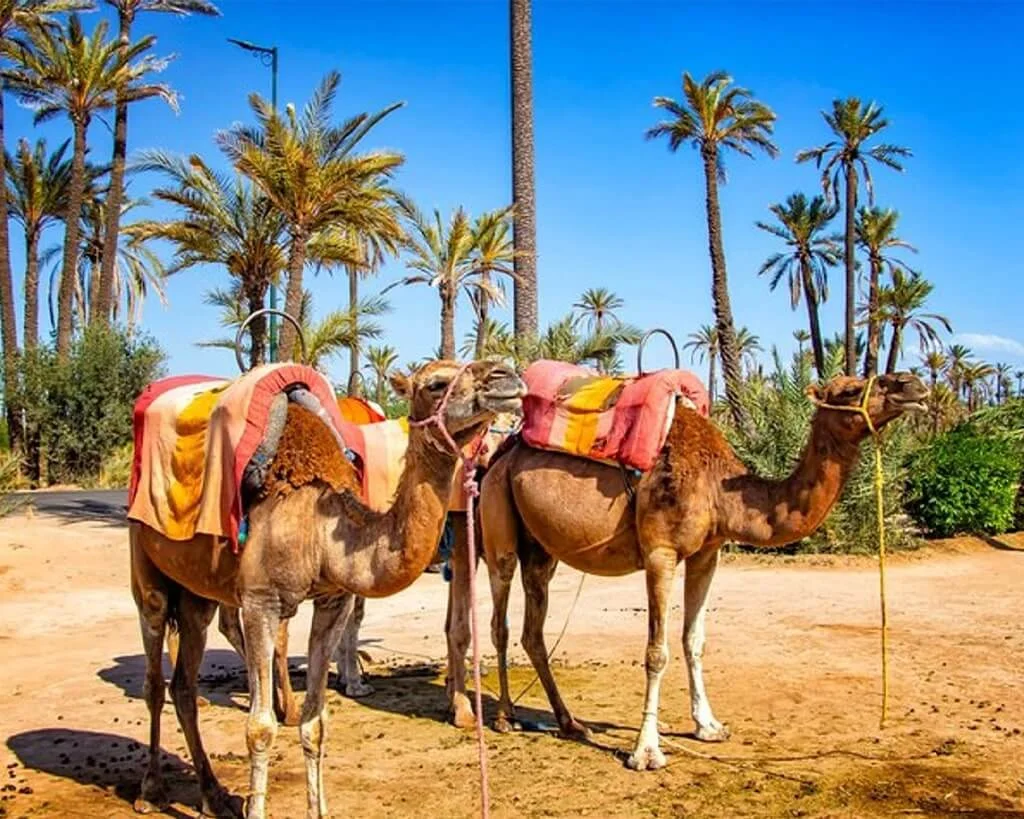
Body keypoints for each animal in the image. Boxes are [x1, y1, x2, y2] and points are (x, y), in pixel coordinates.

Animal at [130, 359, 525, 819]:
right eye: (436, 384)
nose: (506, 376)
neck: (319, 528)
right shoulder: (261, 602)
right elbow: (259, 727)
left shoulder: (332, 600)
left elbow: (315, 723)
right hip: (146, 565)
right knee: (155, 671)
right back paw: (150, 789)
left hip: (197, 593)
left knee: (185, 684)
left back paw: (214, 795)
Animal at [479, 372, 928, 771]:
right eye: (851, 389)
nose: (913, 385)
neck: (718, 487)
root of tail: (502, 453)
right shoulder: (660, 552)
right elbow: (656, 651)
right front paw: (646, 751)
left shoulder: (707, 554)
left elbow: (694, 640)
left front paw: (709, 726)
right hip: (499, 522)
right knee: (500, 619)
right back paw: (505, 717)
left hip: (541, 549)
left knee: (533, 631)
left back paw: (571, 723)